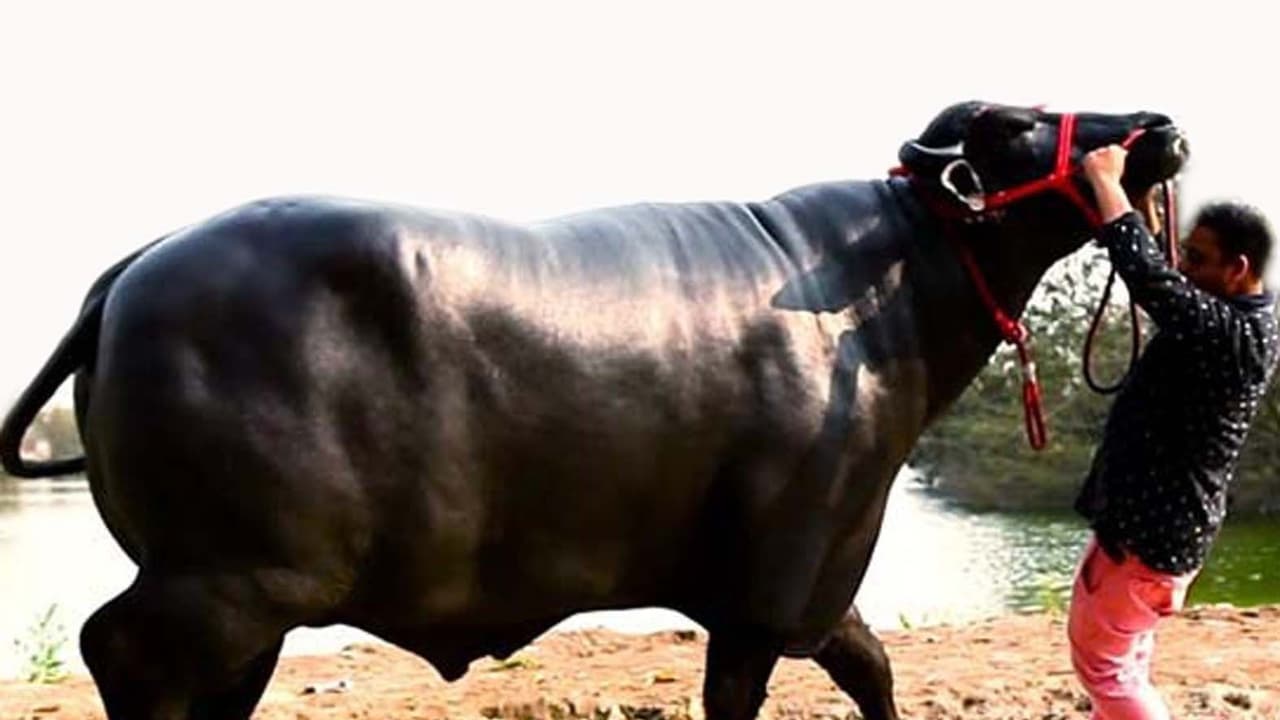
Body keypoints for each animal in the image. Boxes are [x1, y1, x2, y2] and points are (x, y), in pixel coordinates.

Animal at [0, 102, 1187, 719]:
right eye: (1017, 125)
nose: (1156, 126)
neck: (873, 290)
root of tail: (131, 274)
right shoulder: (772, 588)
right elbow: (757, 692)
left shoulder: (811, 583)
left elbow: (870, 667)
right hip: (226, 577)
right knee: (122, 653)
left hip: (243, 592)